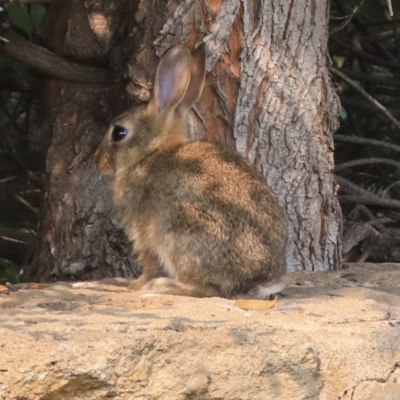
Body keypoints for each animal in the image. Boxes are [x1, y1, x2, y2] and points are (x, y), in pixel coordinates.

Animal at [94, 44, 288, 300]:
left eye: (119, 133)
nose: (98, 161)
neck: (150, 153)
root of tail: (259, 280)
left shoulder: (144, 235)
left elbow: (149, 263)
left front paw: (136, 285)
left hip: (181, 233)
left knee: (210, 289)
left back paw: (163, 286)